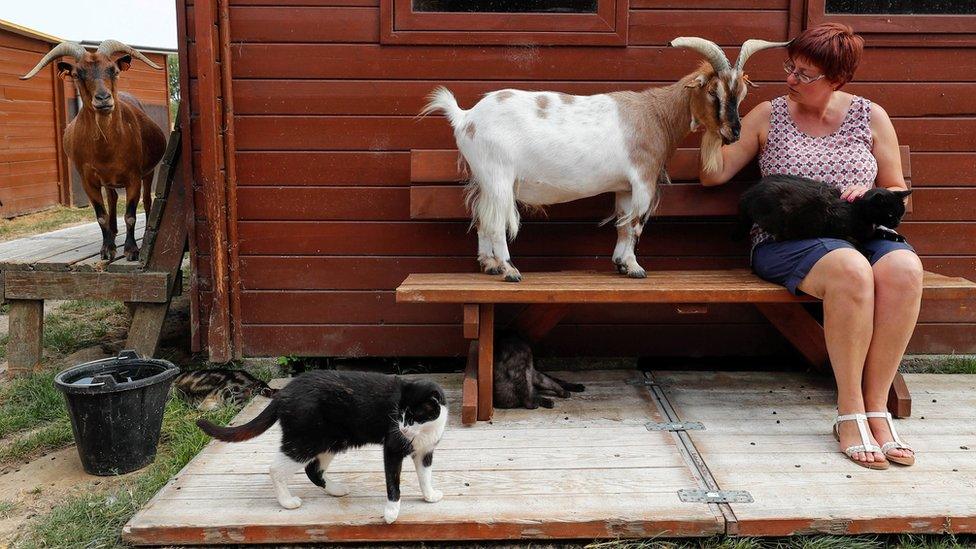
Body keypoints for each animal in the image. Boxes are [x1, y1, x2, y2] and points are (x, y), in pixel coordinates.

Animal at [22, 39, 166, 262]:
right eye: (77, 74)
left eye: (113, 70)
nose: (103, 98)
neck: (106, 148)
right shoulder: (89, 180)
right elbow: (101, 216)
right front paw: (107, 248)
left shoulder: (133, 177)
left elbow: (131, 215)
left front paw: (131, 249)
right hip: (108, 181)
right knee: (112, 199)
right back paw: (113, 232)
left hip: (148, 172)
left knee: (147, 200)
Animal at [196, 368, 448, 524]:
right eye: (399, 415)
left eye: (413, 417)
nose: (402, 428)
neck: (426, 431)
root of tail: (284, 392)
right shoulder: (393, 448)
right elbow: (393, 484)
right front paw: (391, 513)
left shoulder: (425, 452)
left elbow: (425, 476)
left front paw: (429, 496)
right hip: (305, 441)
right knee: (276, 469)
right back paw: (287, 502)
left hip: (331, 441)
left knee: (313, 470)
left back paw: (335, 490)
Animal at [424, 36, 788, 280]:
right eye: (714, 92)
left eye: (741, 94)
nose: (735, 133)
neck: (655, 116)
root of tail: (465, 117)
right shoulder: (643, 181)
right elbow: (635, 225)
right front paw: (635, 267)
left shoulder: (625, 187)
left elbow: (623, 224)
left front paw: (620, 263)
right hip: (498, 176)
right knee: (498, 222)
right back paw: (510, 270)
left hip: (485, 179)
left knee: (483, 218)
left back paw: (489, 265)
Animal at [736, 174, 912, 245]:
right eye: (890, 214)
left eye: (900, 213)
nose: (897, 223)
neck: (858, 211)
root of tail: (747, 193)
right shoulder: (836, 228)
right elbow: (853, 240)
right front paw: (865, 252)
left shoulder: (868, 232)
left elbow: (877, 233)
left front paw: (896, 237)